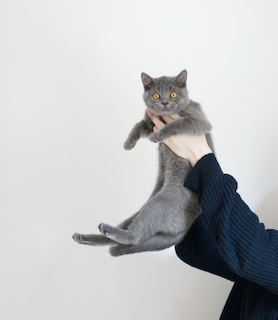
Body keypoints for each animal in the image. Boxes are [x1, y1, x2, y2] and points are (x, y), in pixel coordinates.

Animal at [73, 70, 214, 258]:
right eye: (156, 95)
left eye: (173, 94)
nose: (165, 102)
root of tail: (186, 228)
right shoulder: (149, 121)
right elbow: (138, 125)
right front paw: (128, 143)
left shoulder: (199, 121)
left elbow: (177, 123)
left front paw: (158, 135)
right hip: (141, 209)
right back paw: (85, 237)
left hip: (158, 204)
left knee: (135, 237)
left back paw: (105, 230)